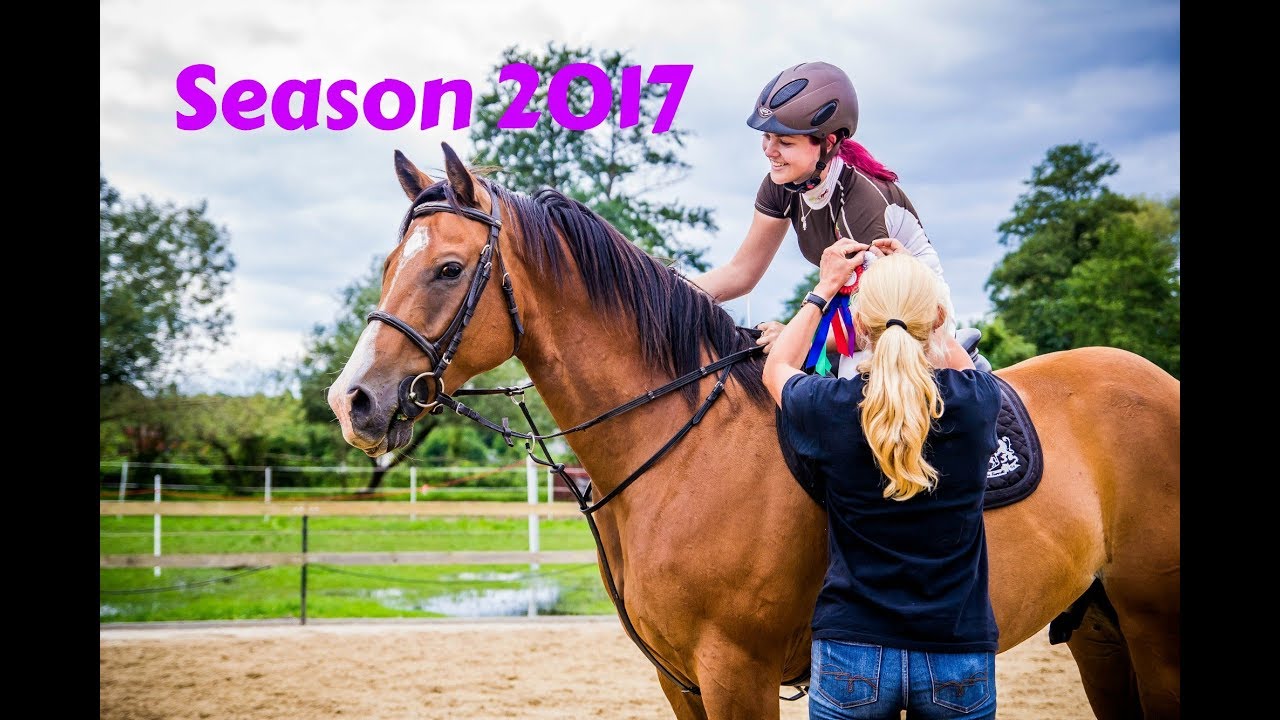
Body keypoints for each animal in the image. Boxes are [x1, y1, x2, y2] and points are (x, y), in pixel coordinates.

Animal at [327, 143, 1180, 719]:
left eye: (446, 269)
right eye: (389, 266)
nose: (353, 401)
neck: (680, 450)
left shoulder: (737, 672)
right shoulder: (680, 678)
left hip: (1154, 629)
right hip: (1100, 630)